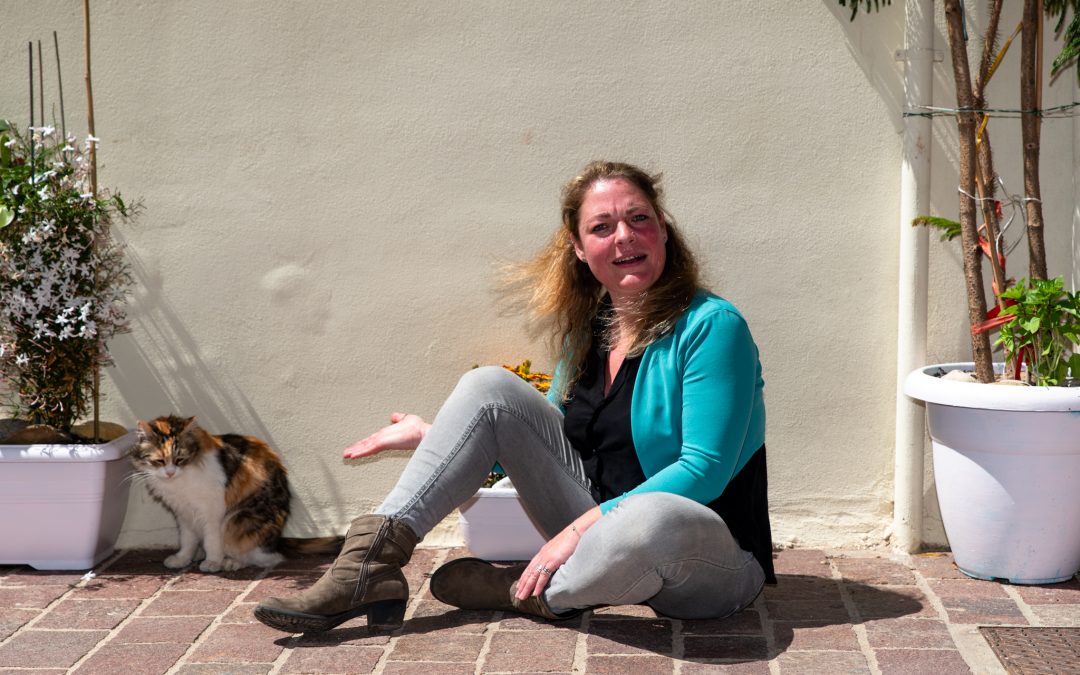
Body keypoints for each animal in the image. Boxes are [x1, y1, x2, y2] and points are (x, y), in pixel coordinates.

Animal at [133, 412, 339, 570]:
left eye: (180, 459)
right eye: (159, 461)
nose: (170, 472)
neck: (179, 482)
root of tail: (278, 539)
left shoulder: (212, 512)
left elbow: (212, 541)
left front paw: (212, 562)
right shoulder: (183, 514)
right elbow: (187, 540)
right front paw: (183, 558)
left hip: (237, 520)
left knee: (266, 558)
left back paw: (231, 562)